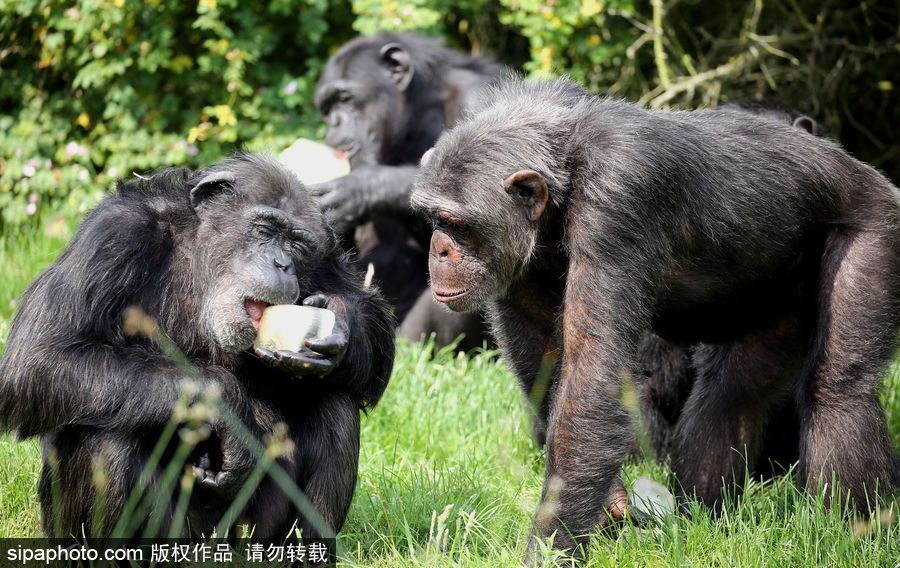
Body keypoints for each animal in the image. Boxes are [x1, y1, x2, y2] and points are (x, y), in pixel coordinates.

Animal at [0, 153, 396, 540]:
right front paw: (226, 406)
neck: (198, 260)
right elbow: (42, 355)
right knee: (103, 437)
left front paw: (338, 327)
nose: (283, 264)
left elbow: (377, 329)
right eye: (265, 229)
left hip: (254, 530)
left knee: (335, 403)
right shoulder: (113, 236)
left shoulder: (324, 257)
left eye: (297, 245)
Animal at [312, 33, 506, 350]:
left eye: (345, 98)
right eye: (327, 110)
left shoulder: (481, 96)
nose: (334, 123)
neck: (417, 114)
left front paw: (364, 187)